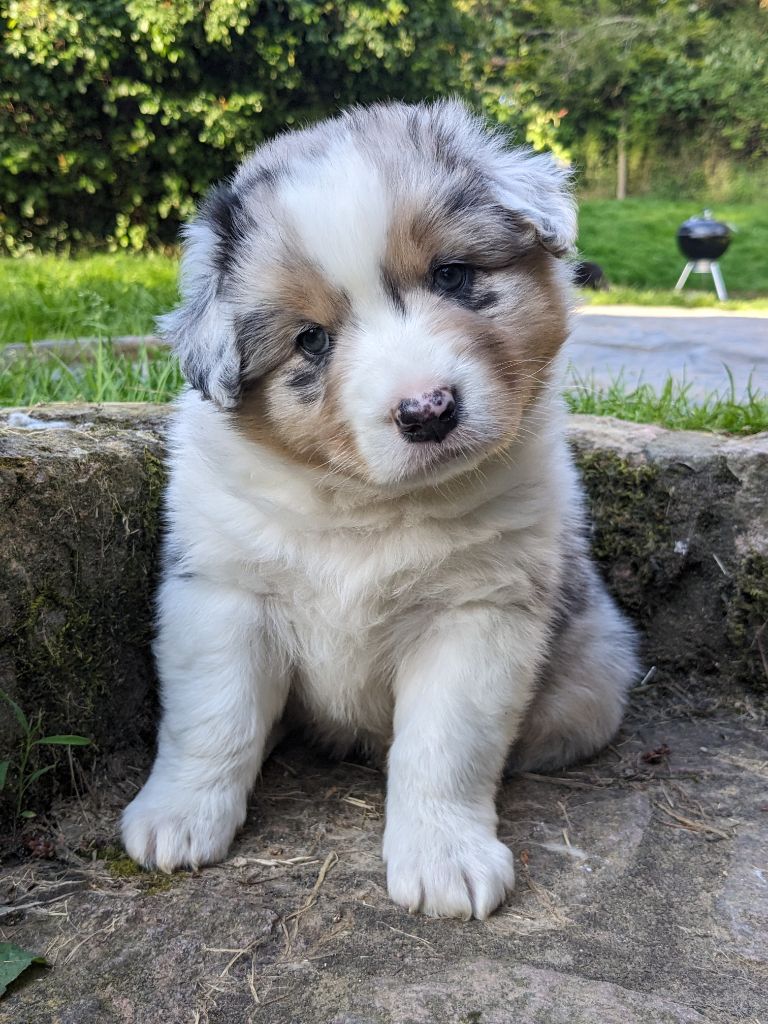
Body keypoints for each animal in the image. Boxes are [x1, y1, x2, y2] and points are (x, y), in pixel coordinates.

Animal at [122, 100, 638, 920]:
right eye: (310, 340)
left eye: (453, 276)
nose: (427, 410)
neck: (367, 505)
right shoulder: (224, 593)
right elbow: (214, 718)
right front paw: (178, 817)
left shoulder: (479, 614)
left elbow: (444, 747)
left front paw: (444, 860)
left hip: (595, 676)